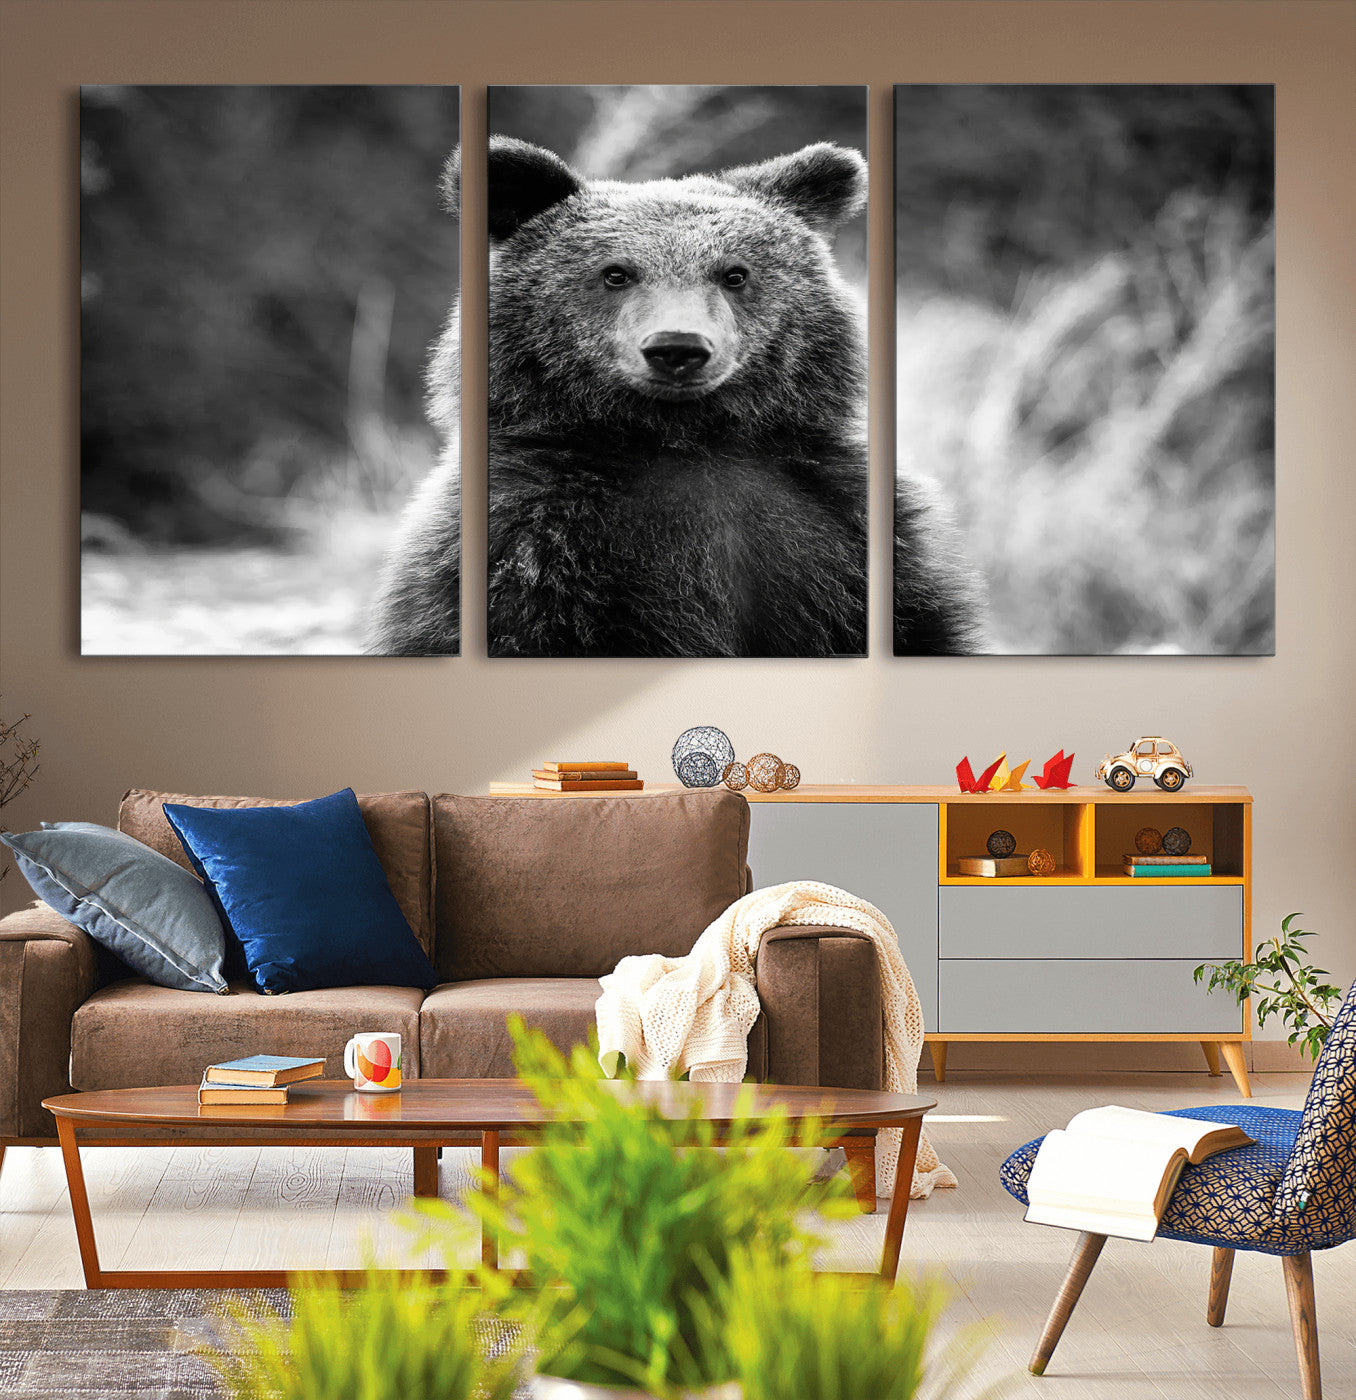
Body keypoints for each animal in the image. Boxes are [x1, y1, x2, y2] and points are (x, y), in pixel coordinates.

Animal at [368, 136, 981, 657]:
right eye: (616, 273)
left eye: (735, 273)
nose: (678, 348)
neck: (685, 439)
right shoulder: (531, 544)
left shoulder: (842, 529)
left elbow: (920, 625)